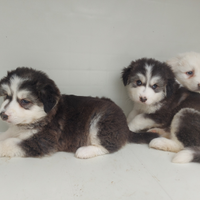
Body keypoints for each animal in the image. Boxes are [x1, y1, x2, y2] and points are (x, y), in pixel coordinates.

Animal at [0, 67, 158, 159]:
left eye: (24, 101)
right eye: (6, 96)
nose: (3, 115)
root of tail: (125, 126)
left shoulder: (42, 142)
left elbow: (9, 143)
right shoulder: (14, 131)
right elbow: (6, 136)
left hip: (100, 123)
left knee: (110, 146)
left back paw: (84, 151)